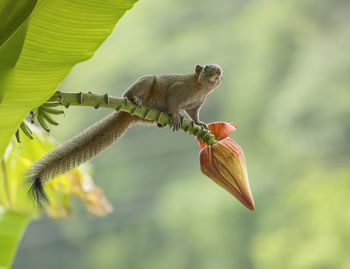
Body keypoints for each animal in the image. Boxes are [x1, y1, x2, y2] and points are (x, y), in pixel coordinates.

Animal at [26, 63, 221, 205]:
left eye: (217, 68)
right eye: (206, 68)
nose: (219, 71)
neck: (200, 89)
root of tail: (129, 113)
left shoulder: (196, 105)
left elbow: (194, 115)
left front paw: (199, 123)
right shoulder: (178, 89)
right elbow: (173, 101)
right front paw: (174, 116)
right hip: (145, 82)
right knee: (130, 94)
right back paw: (135, 100)